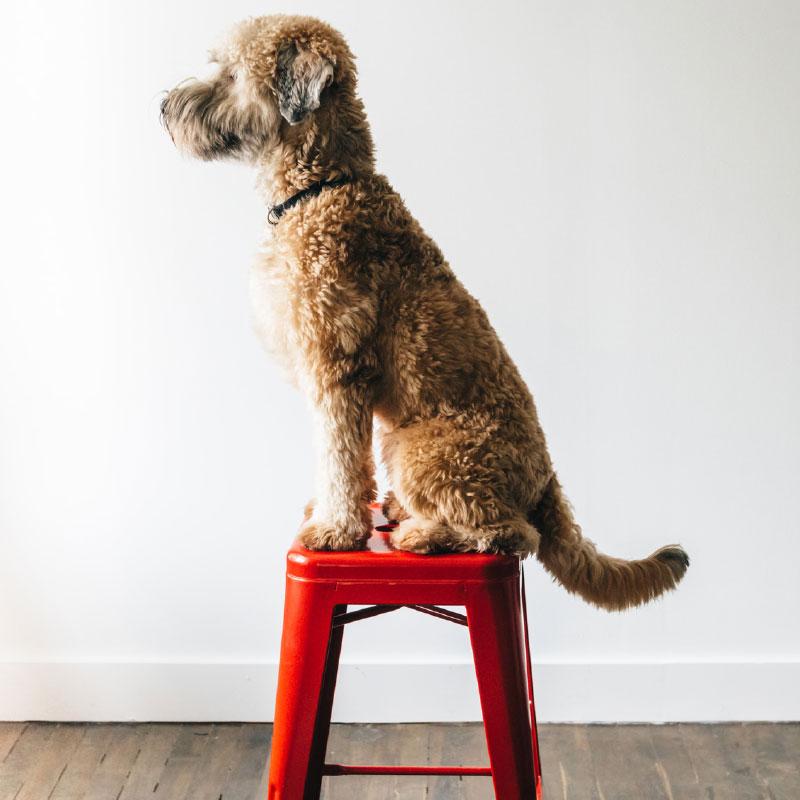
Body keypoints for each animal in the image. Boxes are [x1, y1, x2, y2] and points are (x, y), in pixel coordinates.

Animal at [161, 14, 688, 612]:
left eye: (229, 74)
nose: (165, 107)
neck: (320, 187)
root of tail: (548, 481)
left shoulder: (336, 371)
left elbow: (338, 456)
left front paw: (336, 529)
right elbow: (339, 460)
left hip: (425, 451)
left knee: (511, 534)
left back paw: (424, 534)